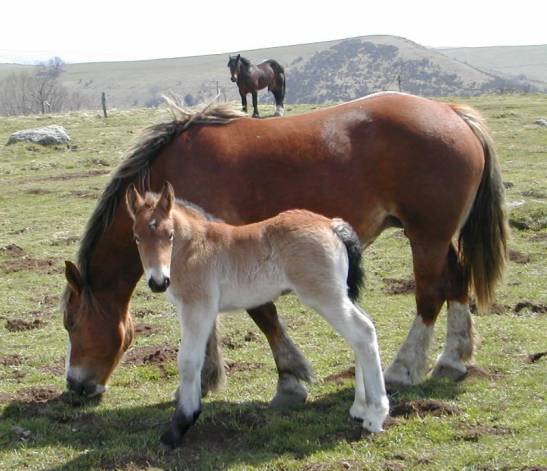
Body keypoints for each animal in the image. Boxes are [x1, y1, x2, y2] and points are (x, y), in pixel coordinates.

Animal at [62, 91, 508, 406]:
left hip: (426, 237)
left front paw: (290, 381)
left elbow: (264, 315)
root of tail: (452, 112)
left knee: (430, 294)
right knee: (456, 282)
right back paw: (452, 360)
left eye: (71, 324)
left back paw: (404, 369)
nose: (75, 385)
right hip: (437, 237)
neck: (172, 175)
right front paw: (203, 381)